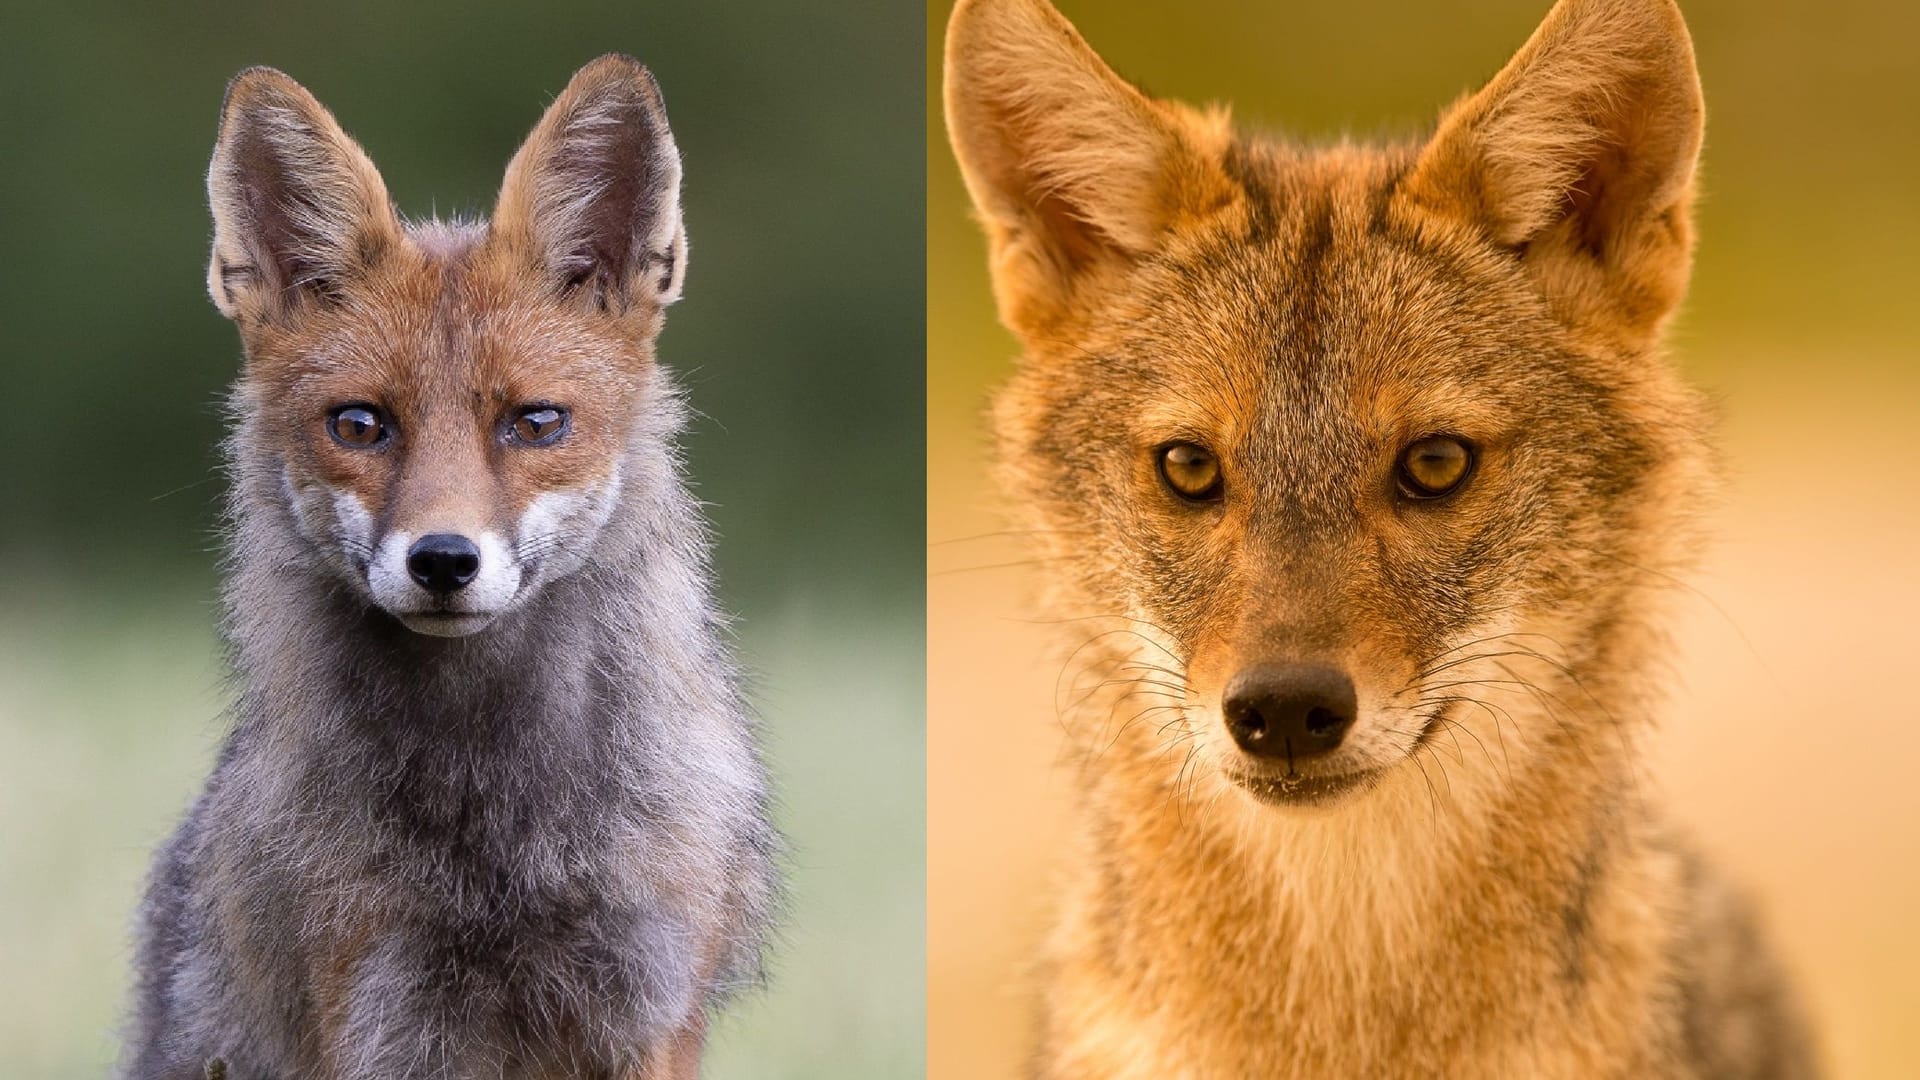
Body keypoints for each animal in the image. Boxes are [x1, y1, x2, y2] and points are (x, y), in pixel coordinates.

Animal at [120, 58, 775, 1076]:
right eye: (359, 425)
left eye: (536, 422)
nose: (443, 561)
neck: (502, 844)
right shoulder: (380, 1005)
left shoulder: (649, 1004)